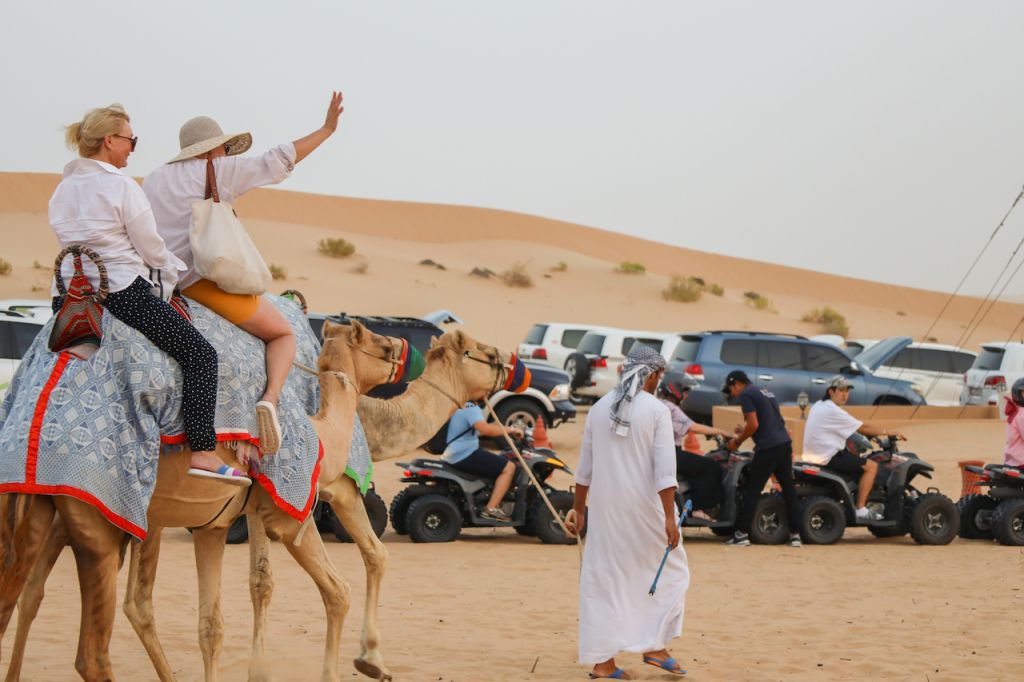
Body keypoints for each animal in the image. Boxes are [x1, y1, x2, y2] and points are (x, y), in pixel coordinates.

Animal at [1, 325, 516, 682]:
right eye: (479, 353)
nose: (508, 362)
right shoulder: (323, 495)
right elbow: (358, 567)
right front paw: (367, 659)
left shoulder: (226, 516)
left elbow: (238, 601)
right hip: (106, 515)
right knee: (107, 628)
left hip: (52, 509)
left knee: (25, 597)